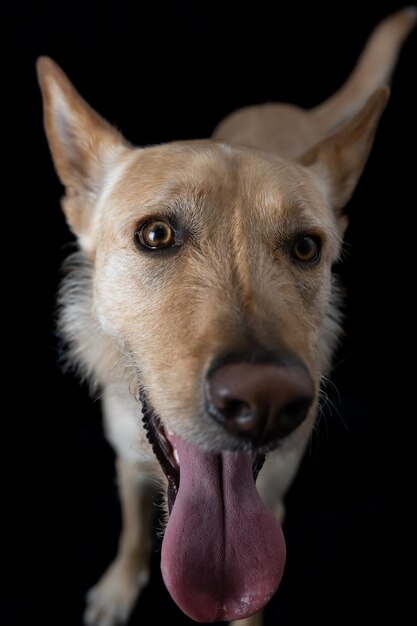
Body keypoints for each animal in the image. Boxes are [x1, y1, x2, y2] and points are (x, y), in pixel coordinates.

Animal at [38, 9, 412, 624]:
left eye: (306, 248)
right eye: (156, 235)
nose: (265, 402)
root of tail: (293, 109)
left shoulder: (273, 505)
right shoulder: (126, 466)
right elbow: (133, 533)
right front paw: (119, 587)